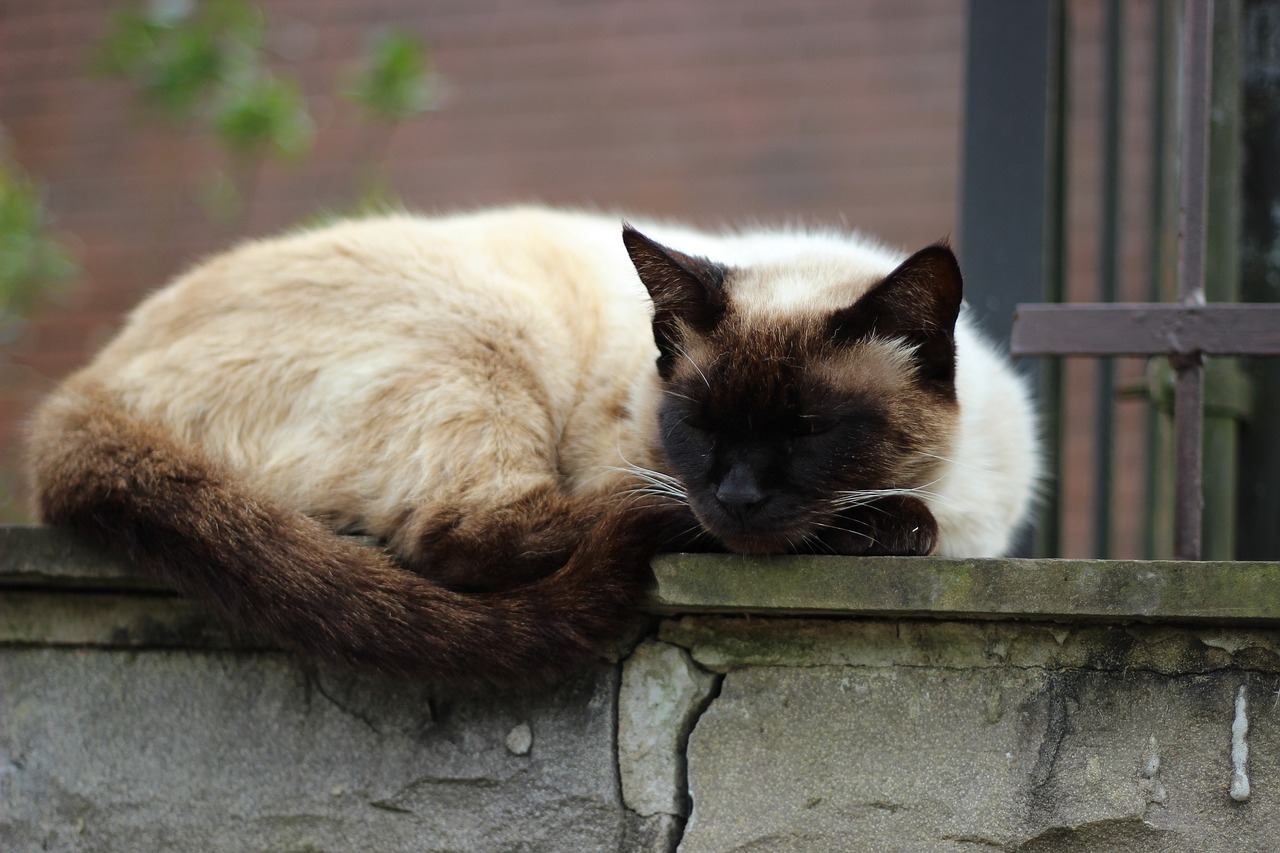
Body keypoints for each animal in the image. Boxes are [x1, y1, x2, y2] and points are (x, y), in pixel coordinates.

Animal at [22, 207, 1039, 691]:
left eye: (809, 431)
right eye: (701, 425)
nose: (738, 496)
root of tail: (81, 388)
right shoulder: (626, 458)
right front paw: (883, 524)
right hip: (488, 330)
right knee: (462, 537)